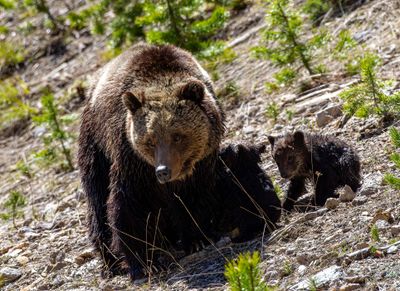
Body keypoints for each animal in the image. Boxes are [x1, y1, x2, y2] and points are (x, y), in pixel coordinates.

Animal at [79, 44, 282, 280]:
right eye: (150, 140)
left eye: (177, 136)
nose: (163, 170)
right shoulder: (132, 160)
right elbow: (130, 204)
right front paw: (144, 262)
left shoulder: (201, 162)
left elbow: (191, 199)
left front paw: (196, 239)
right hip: (96, 145)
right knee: (97, 196)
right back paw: (110, 260)